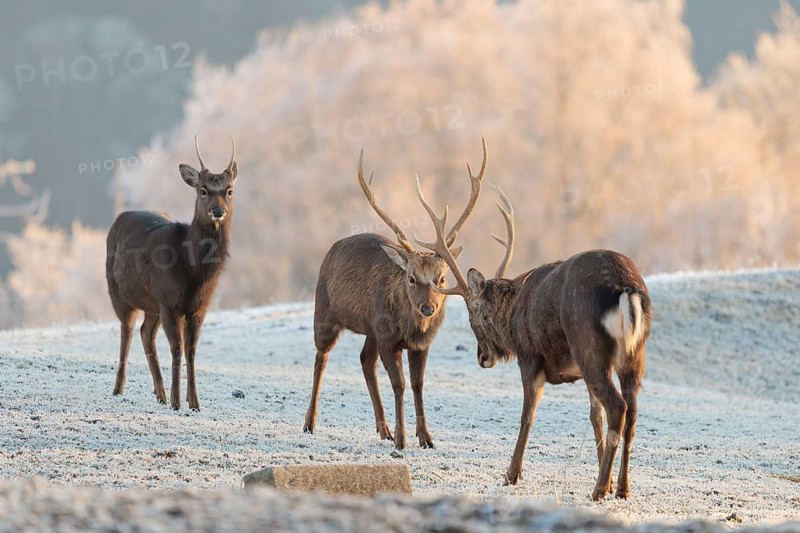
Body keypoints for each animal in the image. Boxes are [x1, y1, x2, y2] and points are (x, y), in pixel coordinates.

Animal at [105, 136, 238, 412]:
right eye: (203, 190)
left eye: (229, 190)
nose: (217, 211)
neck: (193, 274)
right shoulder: (169, 301)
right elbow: (177, 348)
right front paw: (178, 402)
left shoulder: (199, 307)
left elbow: (191, 351)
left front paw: (194, 402)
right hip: (118, 293)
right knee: (127, 331)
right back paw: (119, 388)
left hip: (152, 304)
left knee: (146, 333)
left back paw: (160, 392)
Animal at [303, 140, 487, 450]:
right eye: (411, 278)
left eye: (442, 278)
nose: (428, 308)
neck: (410, 329)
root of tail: (332, 248)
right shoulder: (388, 338)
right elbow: (399, 384)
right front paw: (402, 440)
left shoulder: (420, 344)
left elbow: (417, 384)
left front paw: (425, 438)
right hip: (324, 312)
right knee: (320, 357)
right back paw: (310, 422)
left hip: (370, 330)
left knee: (365, 361)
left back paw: (383, 428)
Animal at [413, 177, 651, 500]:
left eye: (473, 317)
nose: (482, 358)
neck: (512, 313)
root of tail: (625, 288)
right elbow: (594, 416)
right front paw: (610, 478)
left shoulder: (530, 356)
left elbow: (528, 416)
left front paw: (510, 475)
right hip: (634, 354)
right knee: (632, 411)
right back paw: (622, 488)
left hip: (588, 345)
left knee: (618, 407)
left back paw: (599, 489)